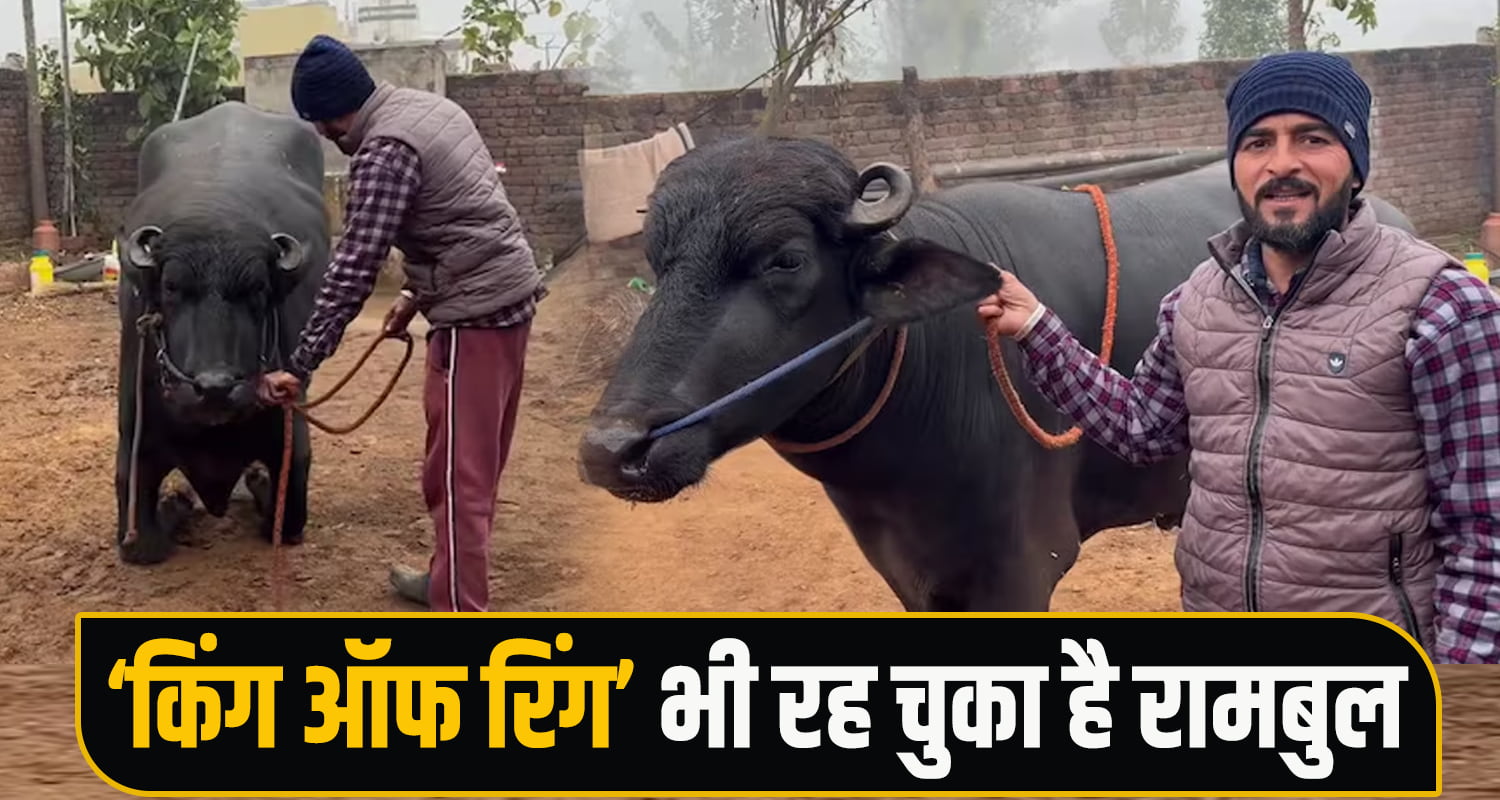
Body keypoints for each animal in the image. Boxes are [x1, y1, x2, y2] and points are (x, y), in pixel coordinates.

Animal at [114, 101, 330, 564]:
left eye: (258, 290)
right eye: (171, 287)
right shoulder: (134, 435)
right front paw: (177, 500)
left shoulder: (290, 436)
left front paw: (258, 481)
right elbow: (144, 542)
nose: (214, 386)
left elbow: (287, 517)